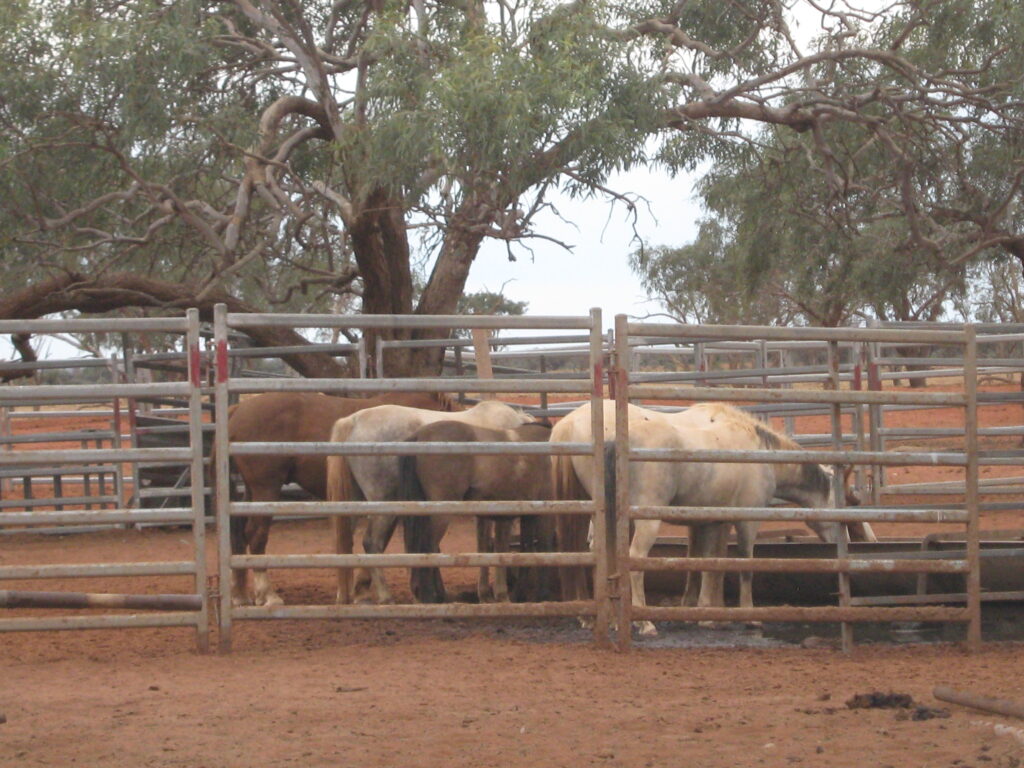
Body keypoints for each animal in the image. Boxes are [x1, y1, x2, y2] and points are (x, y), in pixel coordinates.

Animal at [219, 390, 456, 606]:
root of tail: (239, 408)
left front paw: (358, 590)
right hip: (266, 489)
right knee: (256, 534)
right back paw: (268, 595)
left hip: (252, 491)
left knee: (238, 532)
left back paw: (240, 595)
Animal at [324, 400, 536, 605]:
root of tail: (353, 421)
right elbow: (499, 546)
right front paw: (500, 594)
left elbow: (483, 545)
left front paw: (484, 594)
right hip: (385, 503)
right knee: (372, 543)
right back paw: (387, 596)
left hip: (353, 503)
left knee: (344, 543)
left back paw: (344, 597)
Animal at [398, 420, 555, 604]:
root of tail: (419, 435)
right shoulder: (540, 512)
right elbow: (542, 547)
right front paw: (538, 596)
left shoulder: (519, 516)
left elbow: (522, 549)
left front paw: (513, 595)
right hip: (440, 516)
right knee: (428, 548)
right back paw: (428, 596)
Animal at [551, 399, 876, 636]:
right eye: (845, 510)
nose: (847, 542)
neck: (757, 451)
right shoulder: (745, 520)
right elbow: (743, 564)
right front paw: (748, 616)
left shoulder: (710, 521)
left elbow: (706, 563)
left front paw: (704, 612)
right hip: (644, 520)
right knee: (634, 558)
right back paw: (643, 622)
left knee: (601, 555)